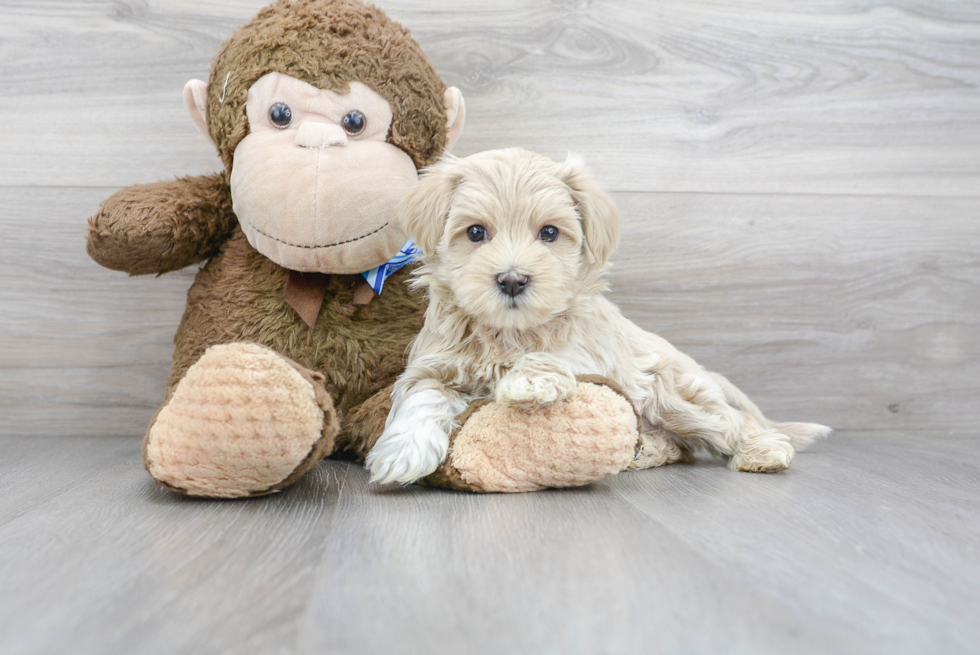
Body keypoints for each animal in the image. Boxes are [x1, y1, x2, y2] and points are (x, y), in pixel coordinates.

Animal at [366, 150, 828, 486]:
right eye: (476, 232)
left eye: (549, 233)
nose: (513, 280)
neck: (509, 334)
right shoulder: (432, 365)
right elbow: (423, 396)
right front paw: (403, 453)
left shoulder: (593, 349)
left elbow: (555, 353)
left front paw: (528, 380)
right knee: (683, 444)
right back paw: (645, 452)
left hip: (671, 394)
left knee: (729, 422)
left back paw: (763, 450)